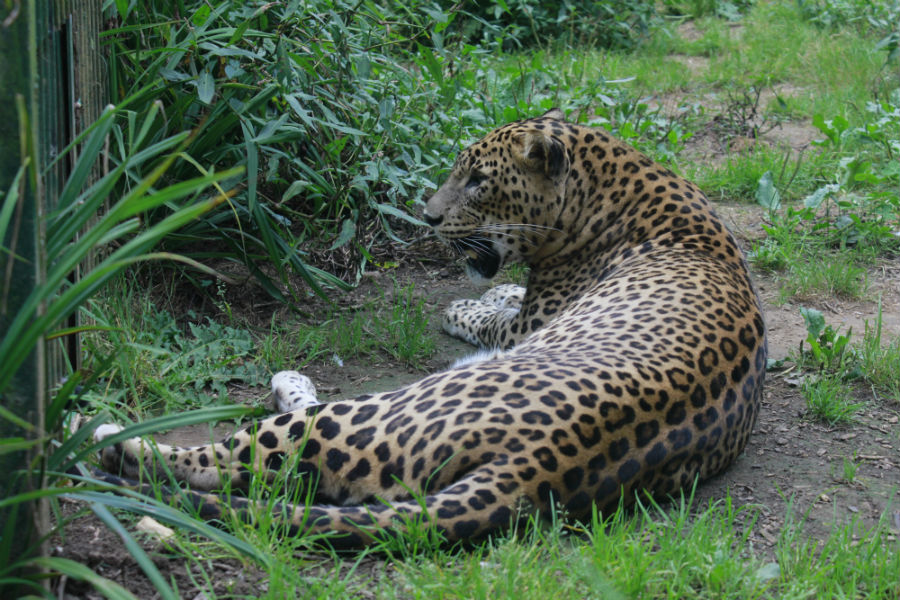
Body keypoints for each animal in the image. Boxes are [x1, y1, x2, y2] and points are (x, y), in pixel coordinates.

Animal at [93, 108, 768, 548]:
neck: (604, 187)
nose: (428, 216)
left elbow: (483, 314)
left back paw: (105, 434)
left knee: (237, 459)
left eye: (479, 180)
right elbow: (502, 295)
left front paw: (464, 304)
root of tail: (536, 467)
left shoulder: (531, 324)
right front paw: (496, 287)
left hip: (383, 410)